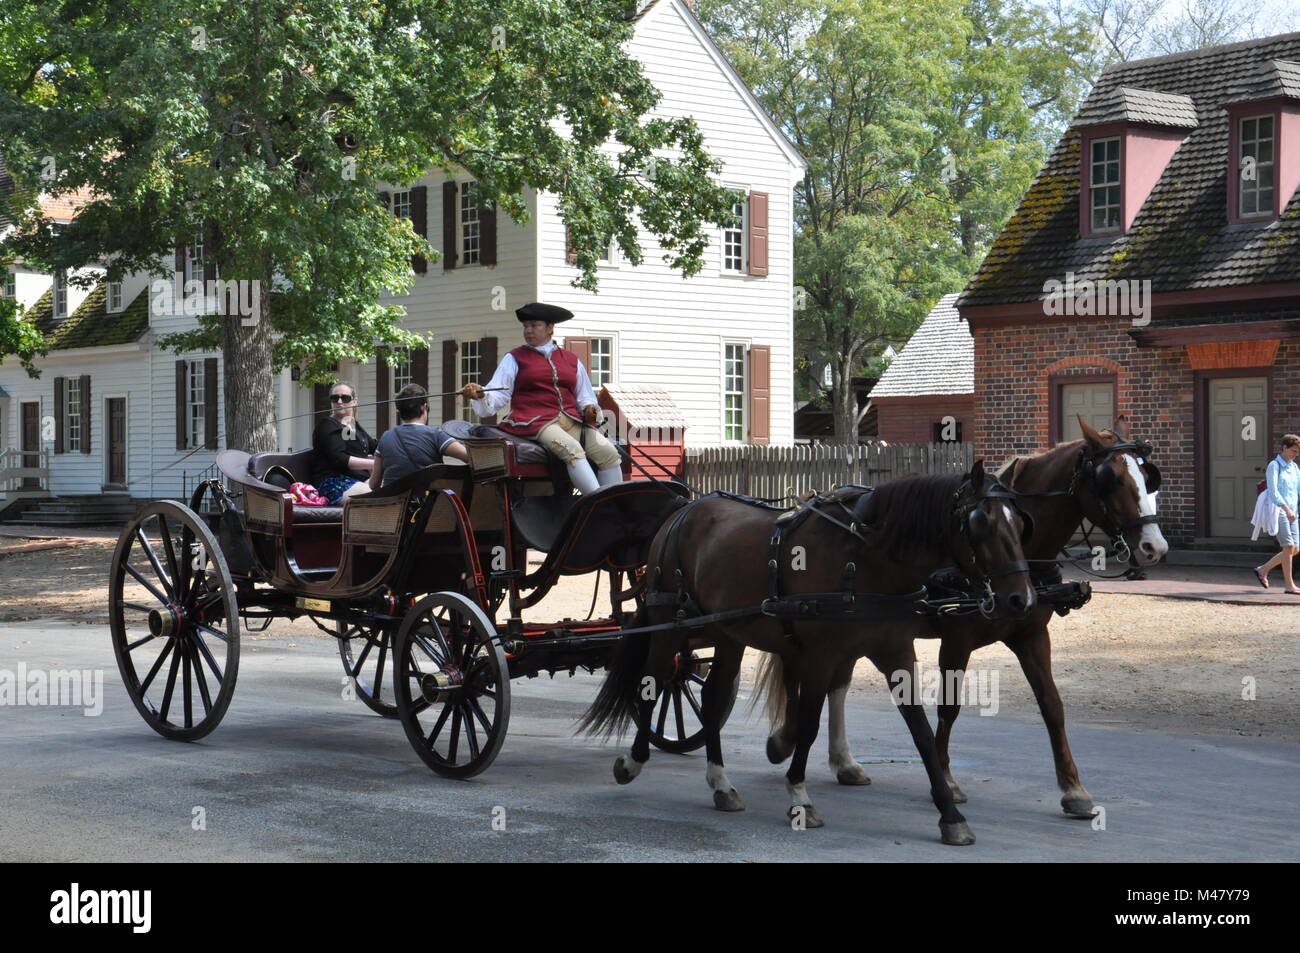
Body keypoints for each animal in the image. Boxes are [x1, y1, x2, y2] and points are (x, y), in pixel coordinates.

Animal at [580, 460, 1036, 846]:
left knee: (712, 697)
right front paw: (799, 793)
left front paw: (949, 815)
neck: (864, 556)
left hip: (726, 632)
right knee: (653, 683)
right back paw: (633, 762)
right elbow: (810, 722)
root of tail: (684, 509)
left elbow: (920, 731)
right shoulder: (820, 655)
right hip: (670, 624)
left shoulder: (896, 652)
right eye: (980, 523)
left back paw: (721, 784)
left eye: (1020, 523)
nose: (1022, 599)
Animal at [763, 415, 1169, 819]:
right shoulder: (957, 640)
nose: (1155, 546)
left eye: (1147, 475)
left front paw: (1073, 788)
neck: (1018, 558)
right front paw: (947, 780)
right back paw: (786, 740)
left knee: (837, 683)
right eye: (1110, 478)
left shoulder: (1032, 635)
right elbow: (950, 706)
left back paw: (842, 761)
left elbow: (1052, 705)